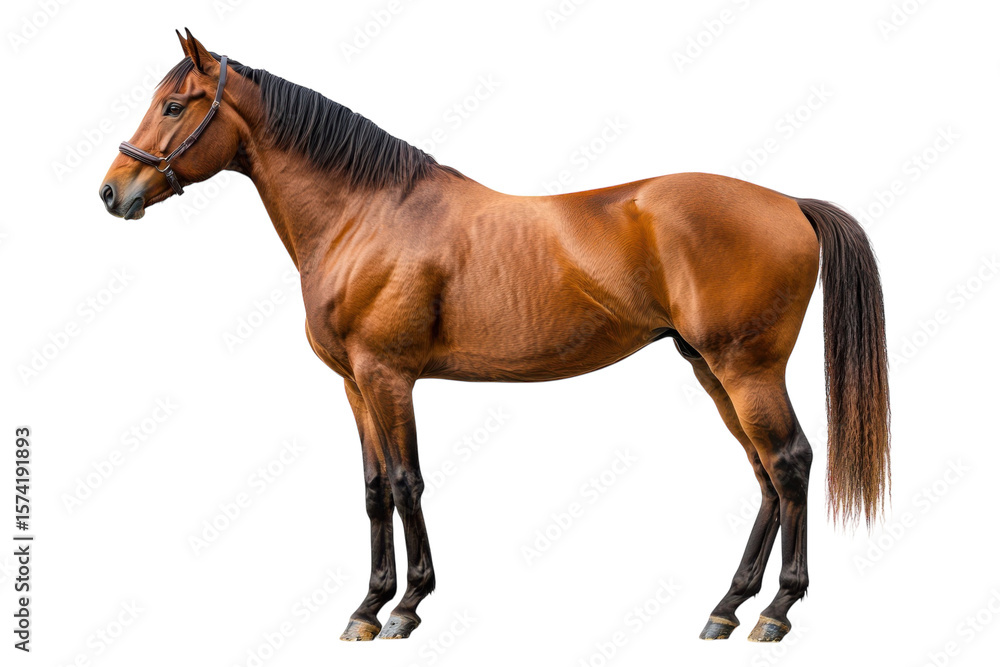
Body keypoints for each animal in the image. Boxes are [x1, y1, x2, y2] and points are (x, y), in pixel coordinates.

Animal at [100, 30, 890, 643]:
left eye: (174, 105)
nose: (112, 193)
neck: (365, 213)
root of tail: (788, 202)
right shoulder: (355, 383)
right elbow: (372, 489)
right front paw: (365, 607)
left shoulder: (387, 375)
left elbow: (406, 481)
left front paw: (407, 606)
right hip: (710, 369)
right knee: (763, 473)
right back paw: (727, 608)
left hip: (746, 368)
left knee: (789, 462)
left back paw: (777, 611)